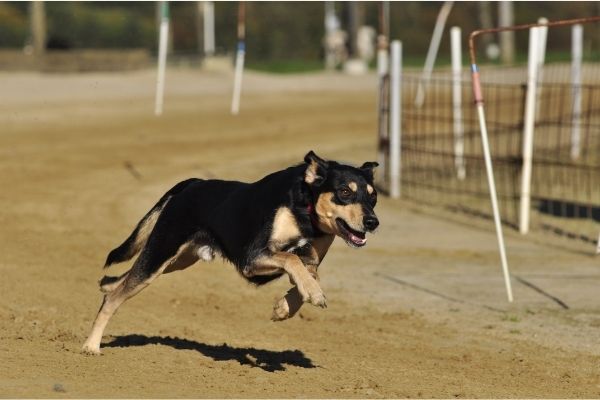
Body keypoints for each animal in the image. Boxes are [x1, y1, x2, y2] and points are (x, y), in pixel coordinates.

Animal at [82, 152, 378, 354]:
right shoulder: (252, 258)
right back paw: (91, 346)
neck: (305, 212)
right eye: (344, 192)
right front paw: (313, 295)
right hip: (160, 252)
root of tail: (193, 183)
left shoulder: (311, 260)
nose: (373, 222)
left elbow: (306, 274)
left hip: (176, 260)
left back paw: (106, 286)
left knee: (119, 283)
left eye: (373, 196)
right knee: (114, 299)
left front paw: (285, 307)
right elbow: (292, 259)